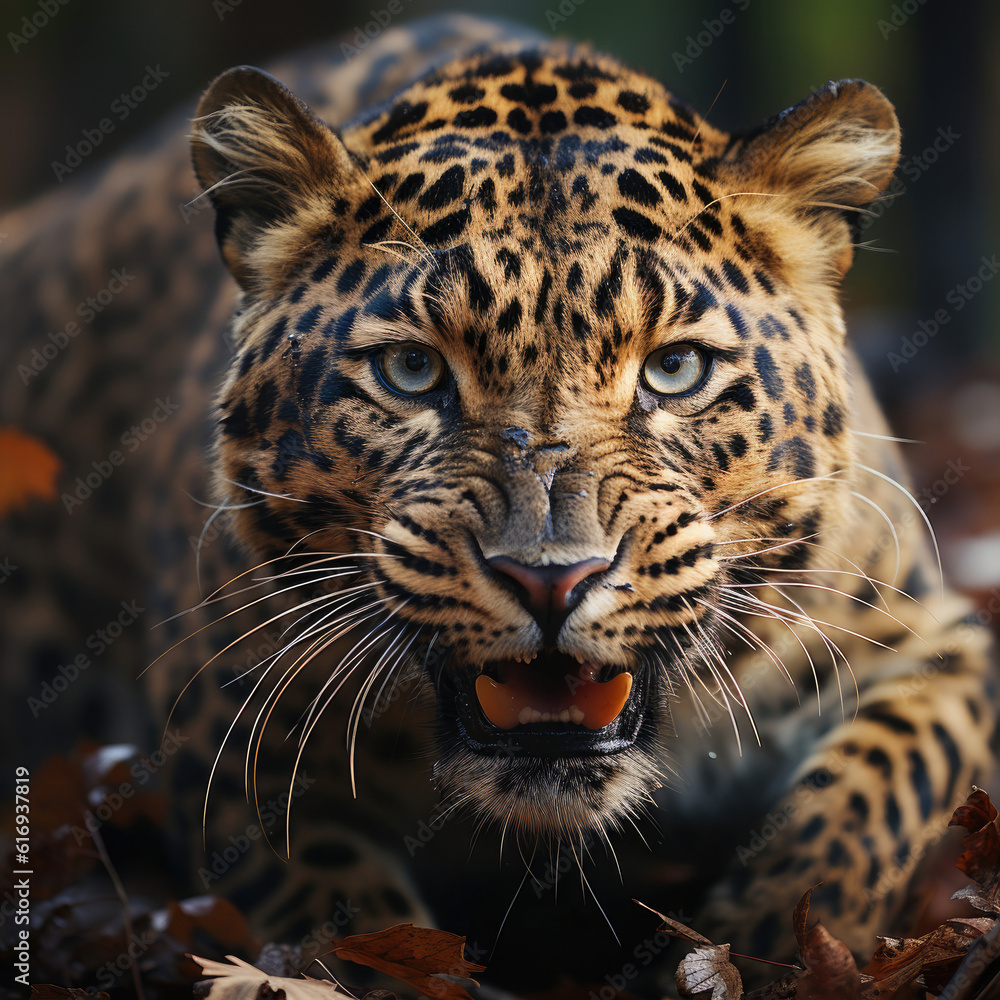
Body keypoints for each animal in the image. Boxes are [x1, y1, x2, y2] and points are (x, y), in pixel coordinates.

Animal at [2, 13, 996, 995]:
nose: (551, 579)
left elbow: (871, 796)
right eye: (412, 370)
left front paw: (776, 944)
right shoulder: (224, 721)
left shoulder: (931, 638)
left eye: (675, 369)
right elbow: (333, 906)